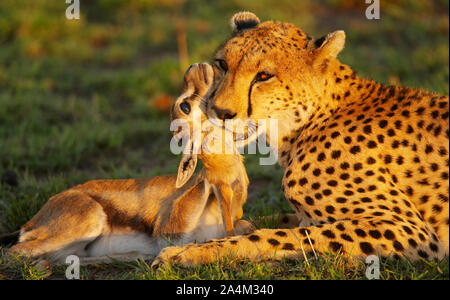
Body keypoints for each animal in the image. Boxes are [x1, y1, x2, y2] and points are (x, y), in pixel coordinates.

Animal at [153, 11, 448, 266]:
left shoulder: (409, 229)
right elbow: (269, 220)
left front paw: (187, 253)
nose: (221, 111)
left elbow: (274, 236)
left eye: (264, 75)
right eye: (223, 65)